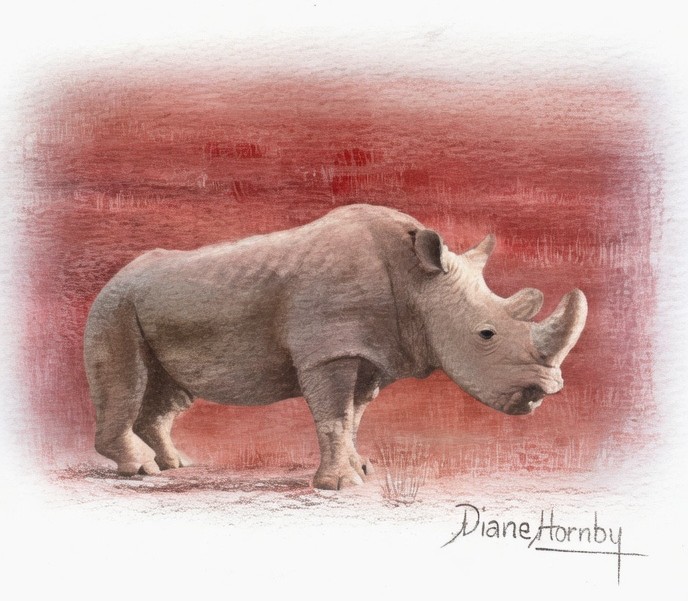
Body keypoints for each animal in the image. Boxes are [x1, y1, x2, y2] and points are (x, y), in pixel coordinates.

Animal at [84, 204, 587, 489]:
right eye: (486, 335)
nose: (545, 391)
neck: (418, 283)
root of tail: (115, 275)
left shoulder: (371, 352)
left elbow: (355, 417)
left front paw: (361, 470)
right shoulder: (328, 351)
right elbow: (334, 417)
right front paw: (338, 486)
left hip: (148, 303)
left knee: (171, 392)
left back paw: (176, 465)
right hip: (114, 306)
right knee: (127, 381)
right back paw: (142, 471)